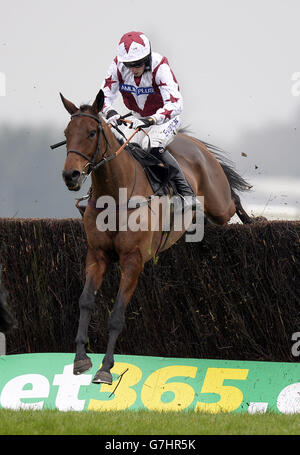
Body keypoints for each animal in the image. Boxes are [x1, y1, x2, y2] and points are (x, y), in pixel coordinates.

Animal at [57, 88, 252, 384]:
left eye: (91, 132)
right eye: (67, 132)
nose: (71, 175)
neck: (116, 195)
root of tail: (192, 141)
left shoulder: (133, 260)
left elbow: (117, 314)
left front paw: (106, 368)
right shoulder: (97, 255)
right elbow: (85, 302)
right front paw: (80, 359)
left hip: (218, 203)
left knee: (234, 199)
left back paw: (255, 221)